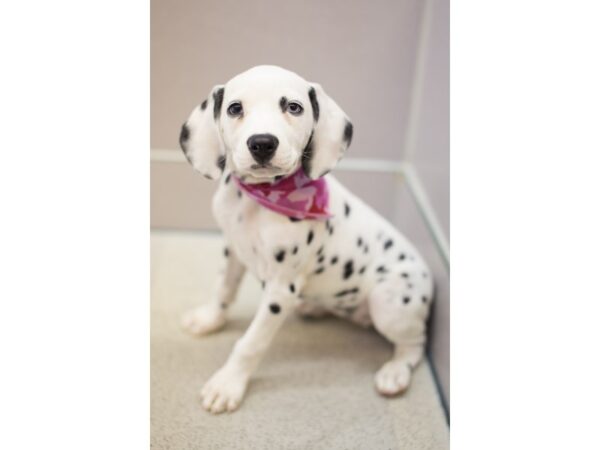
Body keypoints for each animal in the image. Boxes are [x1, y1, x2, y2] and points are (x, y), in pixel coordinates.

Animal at [178, 65, 432, 414]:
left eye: (294, 107)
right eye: (235, 108)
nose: (262, 143)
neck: (259, 199)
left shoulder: (281, 290)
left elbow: (250, 343)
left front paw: (228, 384)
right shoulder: (233, 250)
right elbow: (223, 289)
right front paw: (210, 319)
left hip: (389, 302)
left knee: (415, 343)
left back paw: (395, 373)